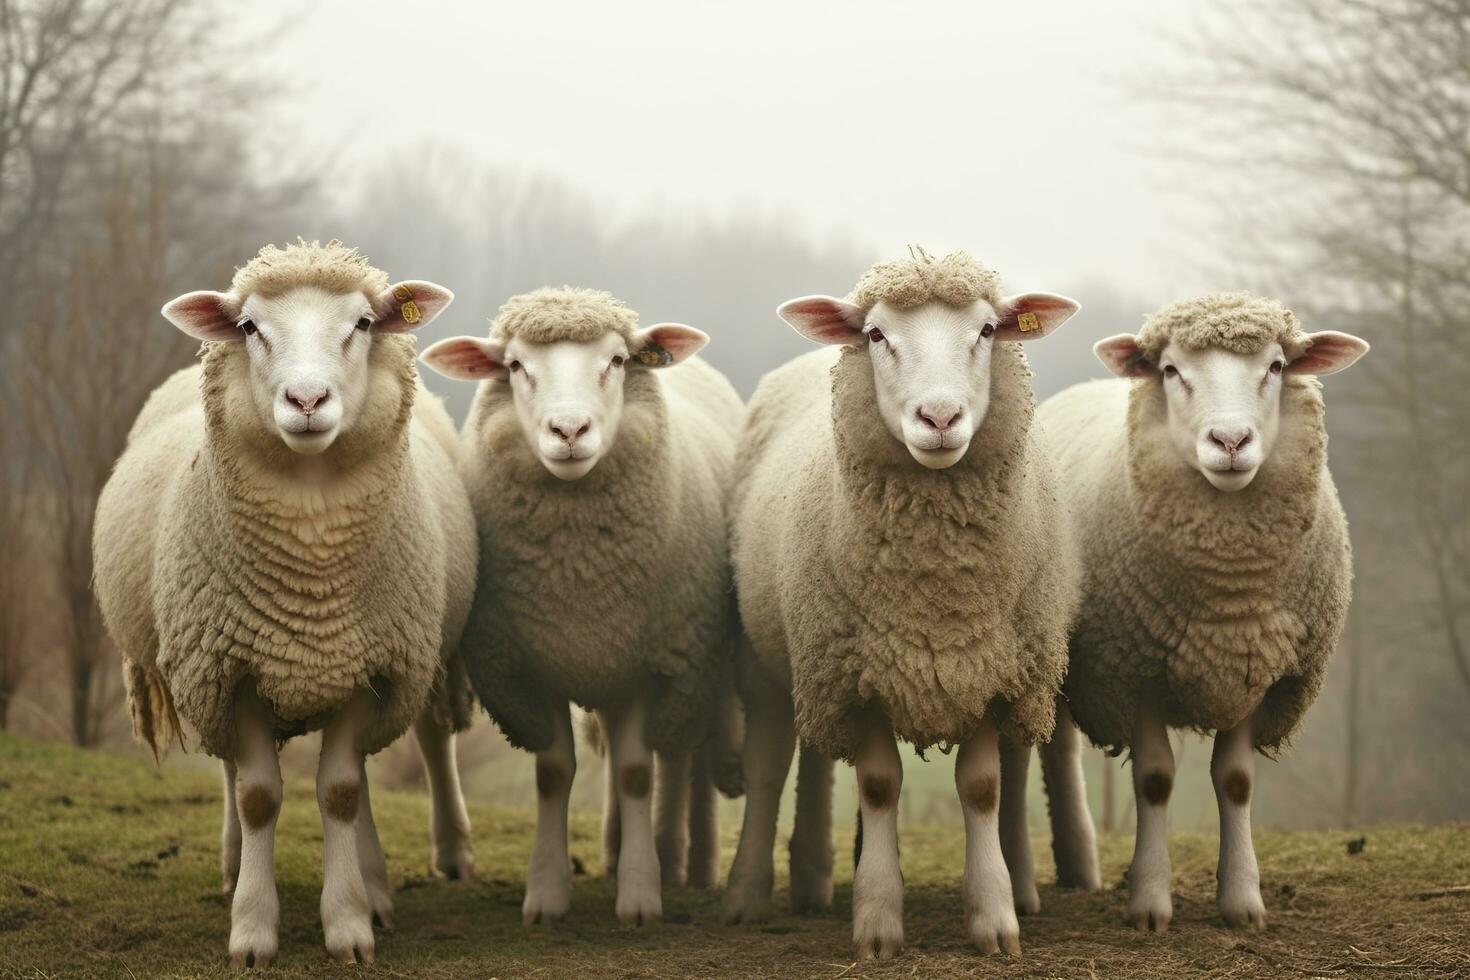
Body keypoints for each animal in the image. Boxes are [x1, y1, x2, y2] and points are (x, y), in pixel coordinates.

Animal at [91, 239, 479, 963]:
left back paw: (393, 878)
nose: (306, 398)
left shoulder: (370, 668)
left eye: (363, 324)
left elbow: (343, 790)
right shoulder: (230, 669)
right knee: (230, 773)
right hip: (204, 674)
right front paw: (252, 928)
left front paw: (351, 923)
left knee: (412, 748)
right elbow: (258, 797)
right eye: (249, 328)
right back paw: (234, 865)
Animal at [423, 285, 746, 928]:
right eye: (515, 366)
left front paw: (641, 895)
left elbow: (635, 772)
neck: (580, 585)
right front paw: (547, 893)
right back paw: (618, 847)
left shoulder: (651, 665)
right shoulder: (525, 670)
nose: (569, 430)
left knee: (671, 757)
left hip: (683, 668)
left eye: (617, 361)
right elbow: (554, 774)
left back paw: (671, 859)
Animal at [723, 246, 1081, 957]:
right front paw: (878, 924)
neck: (934, 598)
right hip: (771, 656)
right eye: (875, 335)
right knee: (771, 764)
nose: (939, 419)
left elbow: (982, 789)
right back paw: (748, 894)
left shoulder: (987, 669)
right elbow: (881, 784)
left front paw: (994, 919)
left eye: (988, 331)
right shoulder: (860, 676)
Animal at [1011, 287, 1364, 934]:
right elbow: (1154, 780)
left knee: (1058, 747)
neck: (1226, 597)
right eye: (1172, 371)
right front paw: (1150, 902)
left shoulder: (1259, 672)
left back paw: (1077, 866)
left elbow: (1237, 781)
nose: (1229, 442)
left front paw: (1243, 901)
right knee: (1022, 754)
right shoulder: (1132, 672)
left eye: (1277, 366)